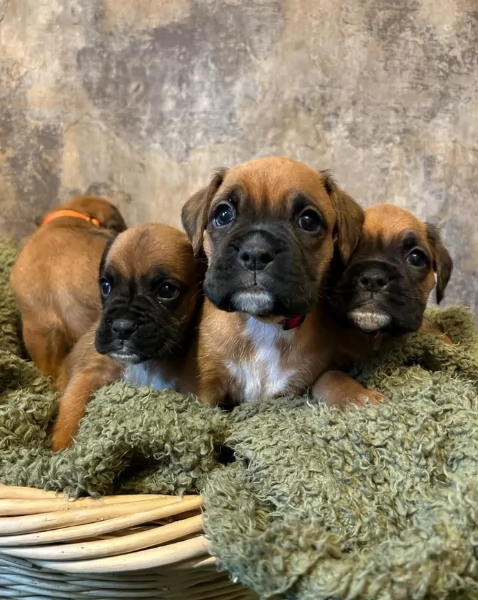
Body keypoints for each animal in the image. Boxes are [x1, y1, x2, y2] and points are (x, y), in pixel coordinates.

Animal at [51, 224, 201, 450]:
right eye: (105, 286)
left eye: (167, 290)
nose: (122, 327)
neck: (145, 364)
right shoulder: (89, 375)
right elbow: (71, 414)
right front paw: (61, 453)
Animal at [179, 156, 380, 408]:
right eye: (223, 215)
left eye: (308, 221)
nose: (255, 252)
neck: (264, 323)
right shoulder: (202, 390)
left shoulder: (303, 384)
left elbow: (332, 377)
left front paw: (357, 396)